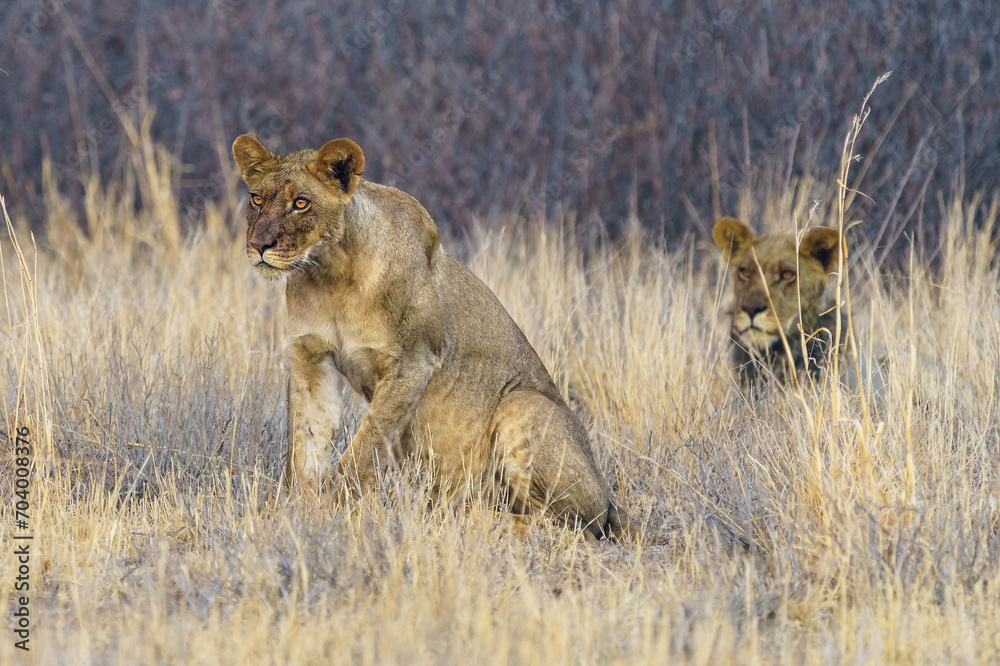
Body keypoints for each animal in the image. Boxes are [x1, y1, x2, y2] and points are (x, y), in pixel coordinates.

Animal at [232, 134, 636, 540]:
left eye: (301, 203)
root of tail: (609, 501)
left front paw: (336, 512)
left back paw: (470, 517)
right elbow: (306, 444)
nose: (259, 245)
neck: (329, 273)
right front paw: (297, 515)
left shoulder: (413, 362)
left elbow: (366, 446)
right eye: (257, 199)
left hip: (523, 404)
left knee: (564, 525)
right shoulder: (311, 357)